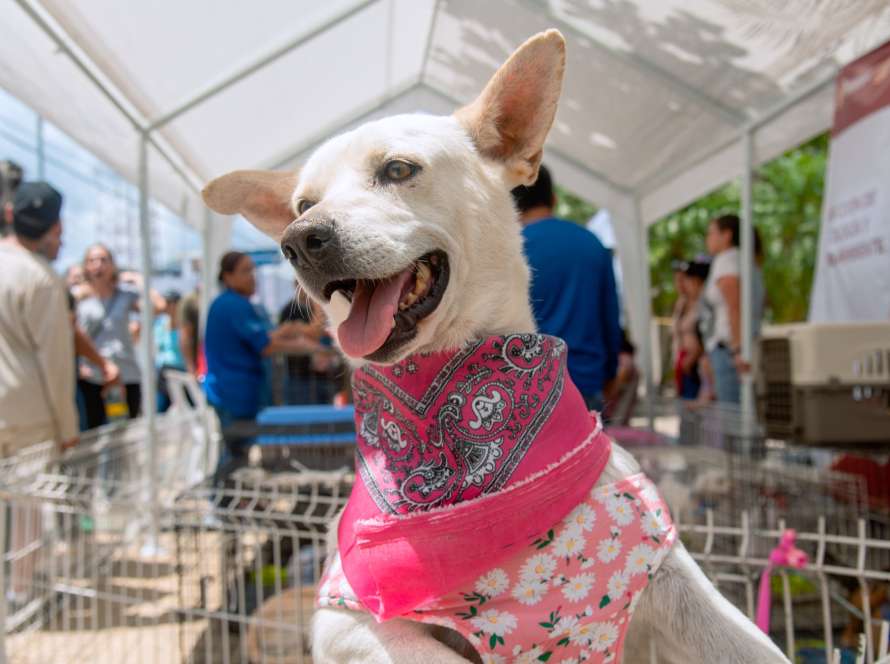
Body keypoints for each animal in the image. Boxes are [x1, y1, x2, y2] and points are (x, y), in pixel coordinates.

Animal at [203, 30, 790, 664]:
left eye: (398, 168)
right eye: (303, 205)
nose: (298, 240)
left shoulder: (666, 566)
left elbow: (751, 643)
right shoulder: (345, 618)